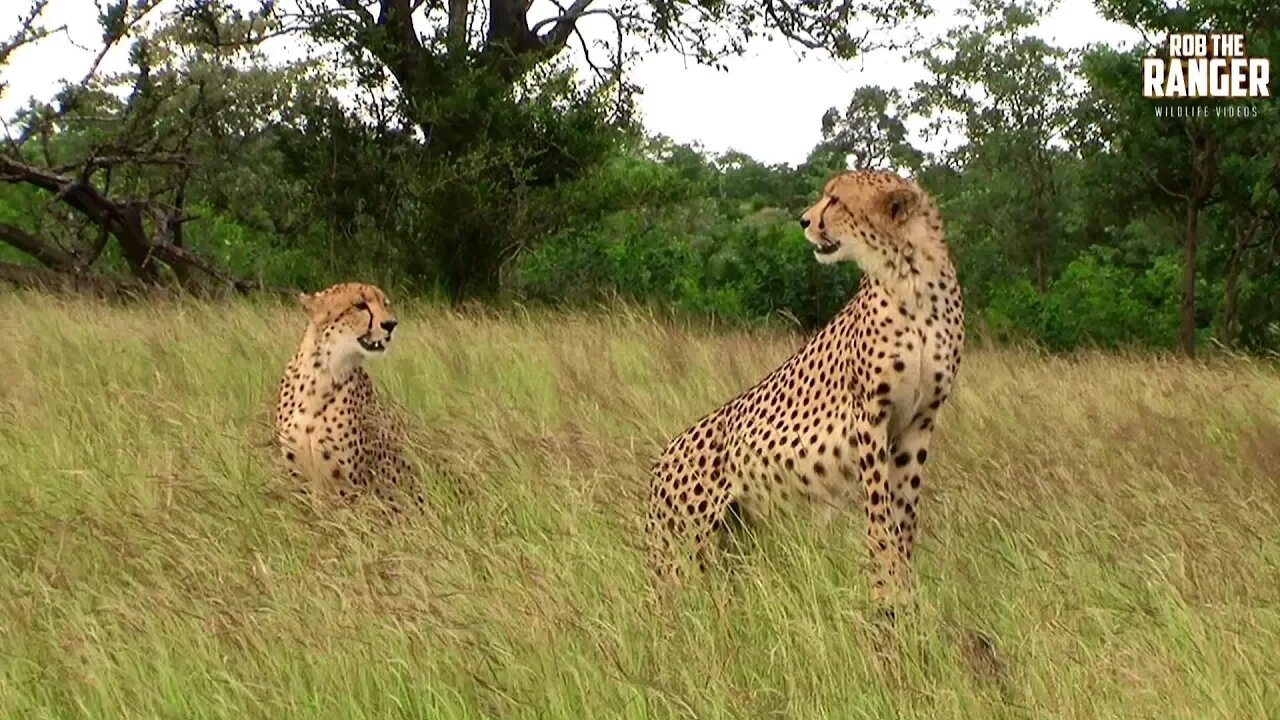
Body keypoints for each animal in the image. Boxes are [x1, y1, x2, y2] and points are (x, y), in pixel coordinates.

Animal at [272, 283, 427, 512]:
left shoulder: (349, 487)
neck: (320, 376)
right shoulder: (300, 482)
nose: (390, 324)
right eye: (359, 305)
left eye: (385, 304)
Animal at [645, 170, 962, 607]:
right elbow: (879, 513)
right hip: (687, 550)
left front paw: (902, 587)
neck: (909, 275)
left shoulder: (920, 421)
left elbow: (905, 516)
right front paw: (883, 584)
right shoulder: (869, 415)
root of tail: (660, 460)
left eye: (836, 200)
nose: (804, 221)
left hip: (732, 541)